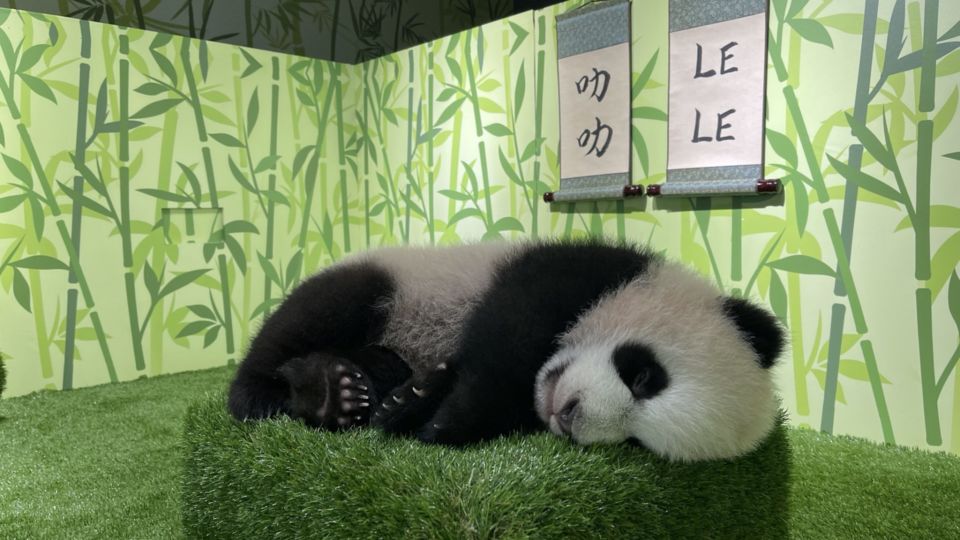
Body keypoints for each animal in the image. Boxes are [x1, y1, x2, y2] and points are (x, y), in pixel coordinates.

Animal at [229, 238, 784, 462]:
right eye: (645, 376)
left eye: (636, 443)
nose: (569, 414)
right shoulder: (578, 269)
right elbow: (509, 328)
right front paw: (441, 418)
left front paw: (417, 403)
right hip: (392, 279)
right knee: (315, 314)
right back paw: (266, 392)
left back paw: (339, 392)